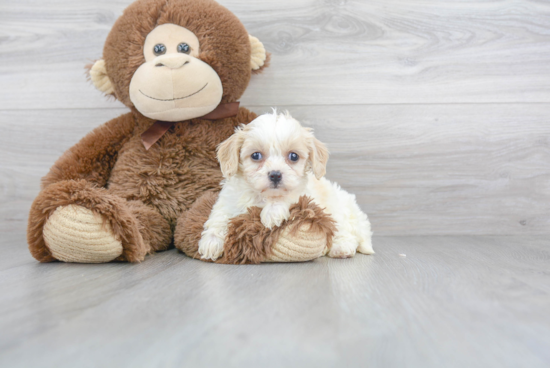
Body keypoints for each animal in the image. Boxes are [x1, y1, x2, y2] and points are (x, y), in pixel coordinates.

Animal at [198, 110, 376, 260]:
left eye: (293, 156)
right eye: (256, 155)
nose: (275, 174)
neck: (261, 196)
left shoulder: (305, 196)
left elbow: (289, 196)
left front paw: (272, 213)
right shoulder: (228, 200)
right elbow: (219, 215)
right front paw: (211, 242)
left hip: (339, 211)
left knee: (344, 232)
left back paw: (341, 248)